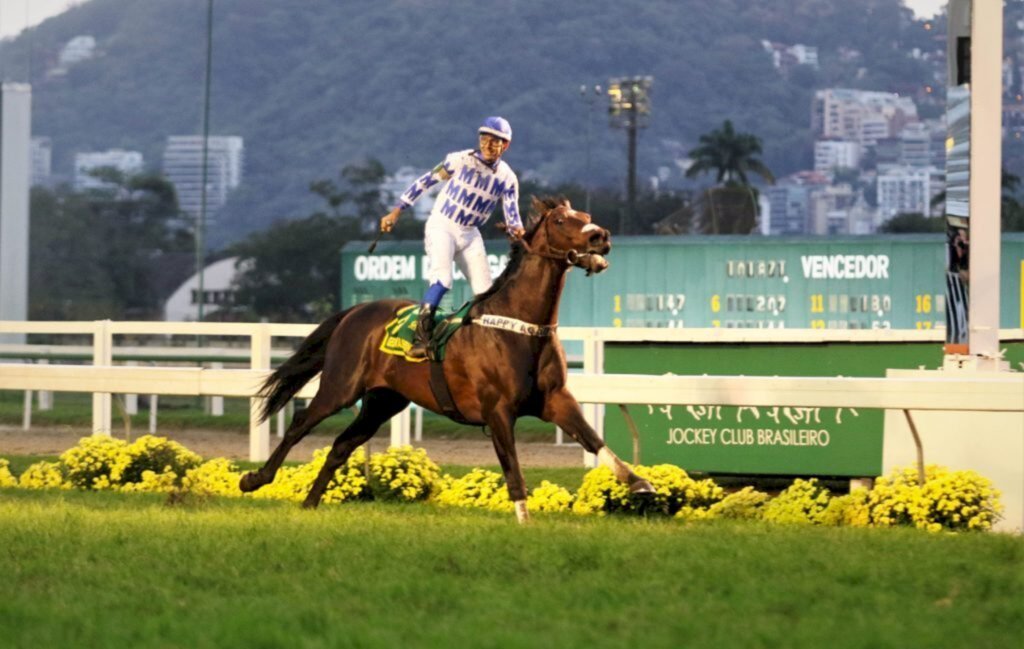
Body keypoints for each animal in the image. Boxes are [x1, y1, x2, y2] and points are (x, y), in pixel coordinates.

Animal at [239, 194, 651, 517]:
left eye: (586, 215)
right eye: (563, 220)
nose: (601, 237)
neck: (520, 328)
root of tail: (355, 311)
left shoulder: (555, 400)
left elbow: (593, 440)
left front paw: (640, 482)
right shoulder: (497, 411)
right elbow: (514, 472)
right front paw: (525, 522)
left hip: (383, 401)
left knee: (341, 445)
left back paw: (310, 502)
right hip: (341, 386)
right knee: (300, 423)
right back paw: (256, 478)